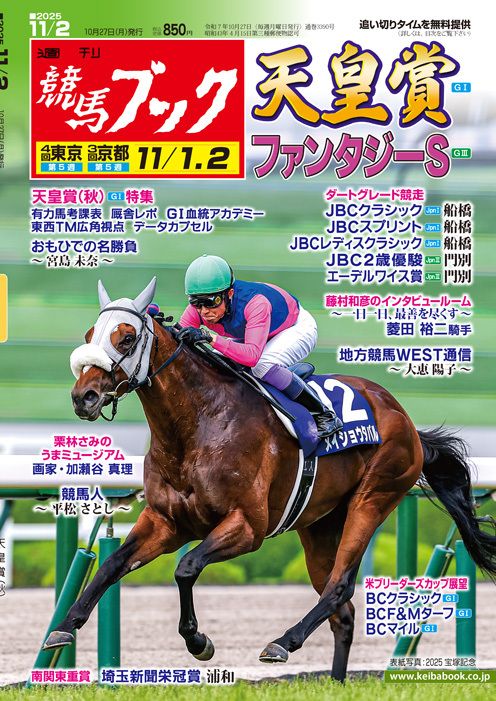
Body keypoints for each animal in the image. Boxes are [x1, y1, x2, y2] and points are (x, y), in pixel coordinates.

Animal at [44, 278, 496, 681]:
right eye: (90, 334)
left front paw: (198, 641)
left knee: (340, 586)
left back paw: (282, 642)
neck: (196, 427)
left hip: (374, 497)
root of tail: (402, 417)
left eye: (126, 337)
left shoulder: (248, 527)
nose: (83, 397)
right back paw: (334, 682)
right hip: (320, 524)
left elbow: (186, 568)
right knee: (342, 611)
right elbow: (112, 564)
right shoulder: (166, 521)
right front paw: (63, 627)